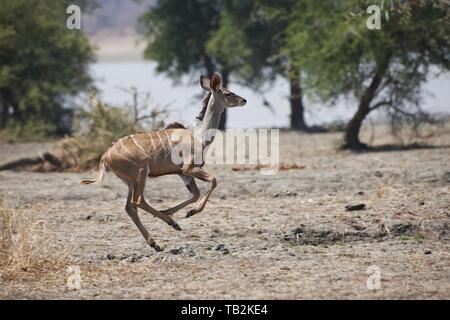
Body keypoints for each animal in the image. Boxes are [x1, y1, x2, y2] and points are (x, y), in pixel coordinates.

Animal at [82, 74, 248, 251]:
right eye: (228, 92)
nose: (244, 100)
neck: (199, 136)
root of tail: (105, 156)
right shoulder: (189, 168)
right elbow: (213, 180)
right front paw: (187, 212)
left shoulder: (183, 173)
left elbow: (195, 194)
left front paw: (172, 211)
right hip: (141, 174)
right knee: (138, 201)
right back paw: (171, 224)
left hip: (130, 181)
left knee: (129, 207)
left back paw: (155, 243)